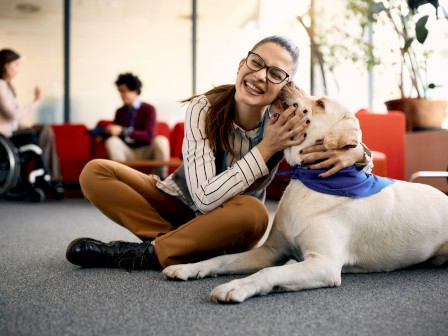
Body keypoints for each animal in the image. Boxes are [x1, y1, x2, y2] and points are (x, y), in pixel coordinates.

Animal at [163, 84, 448, 304]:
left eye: (320, 103)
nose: (288, 81)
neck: (308, 181)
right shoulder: (271, 250)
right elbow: (221, 260)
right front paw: (189, 267)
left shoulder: (323, 264)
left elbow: (268, 273)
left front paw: (235, 286)